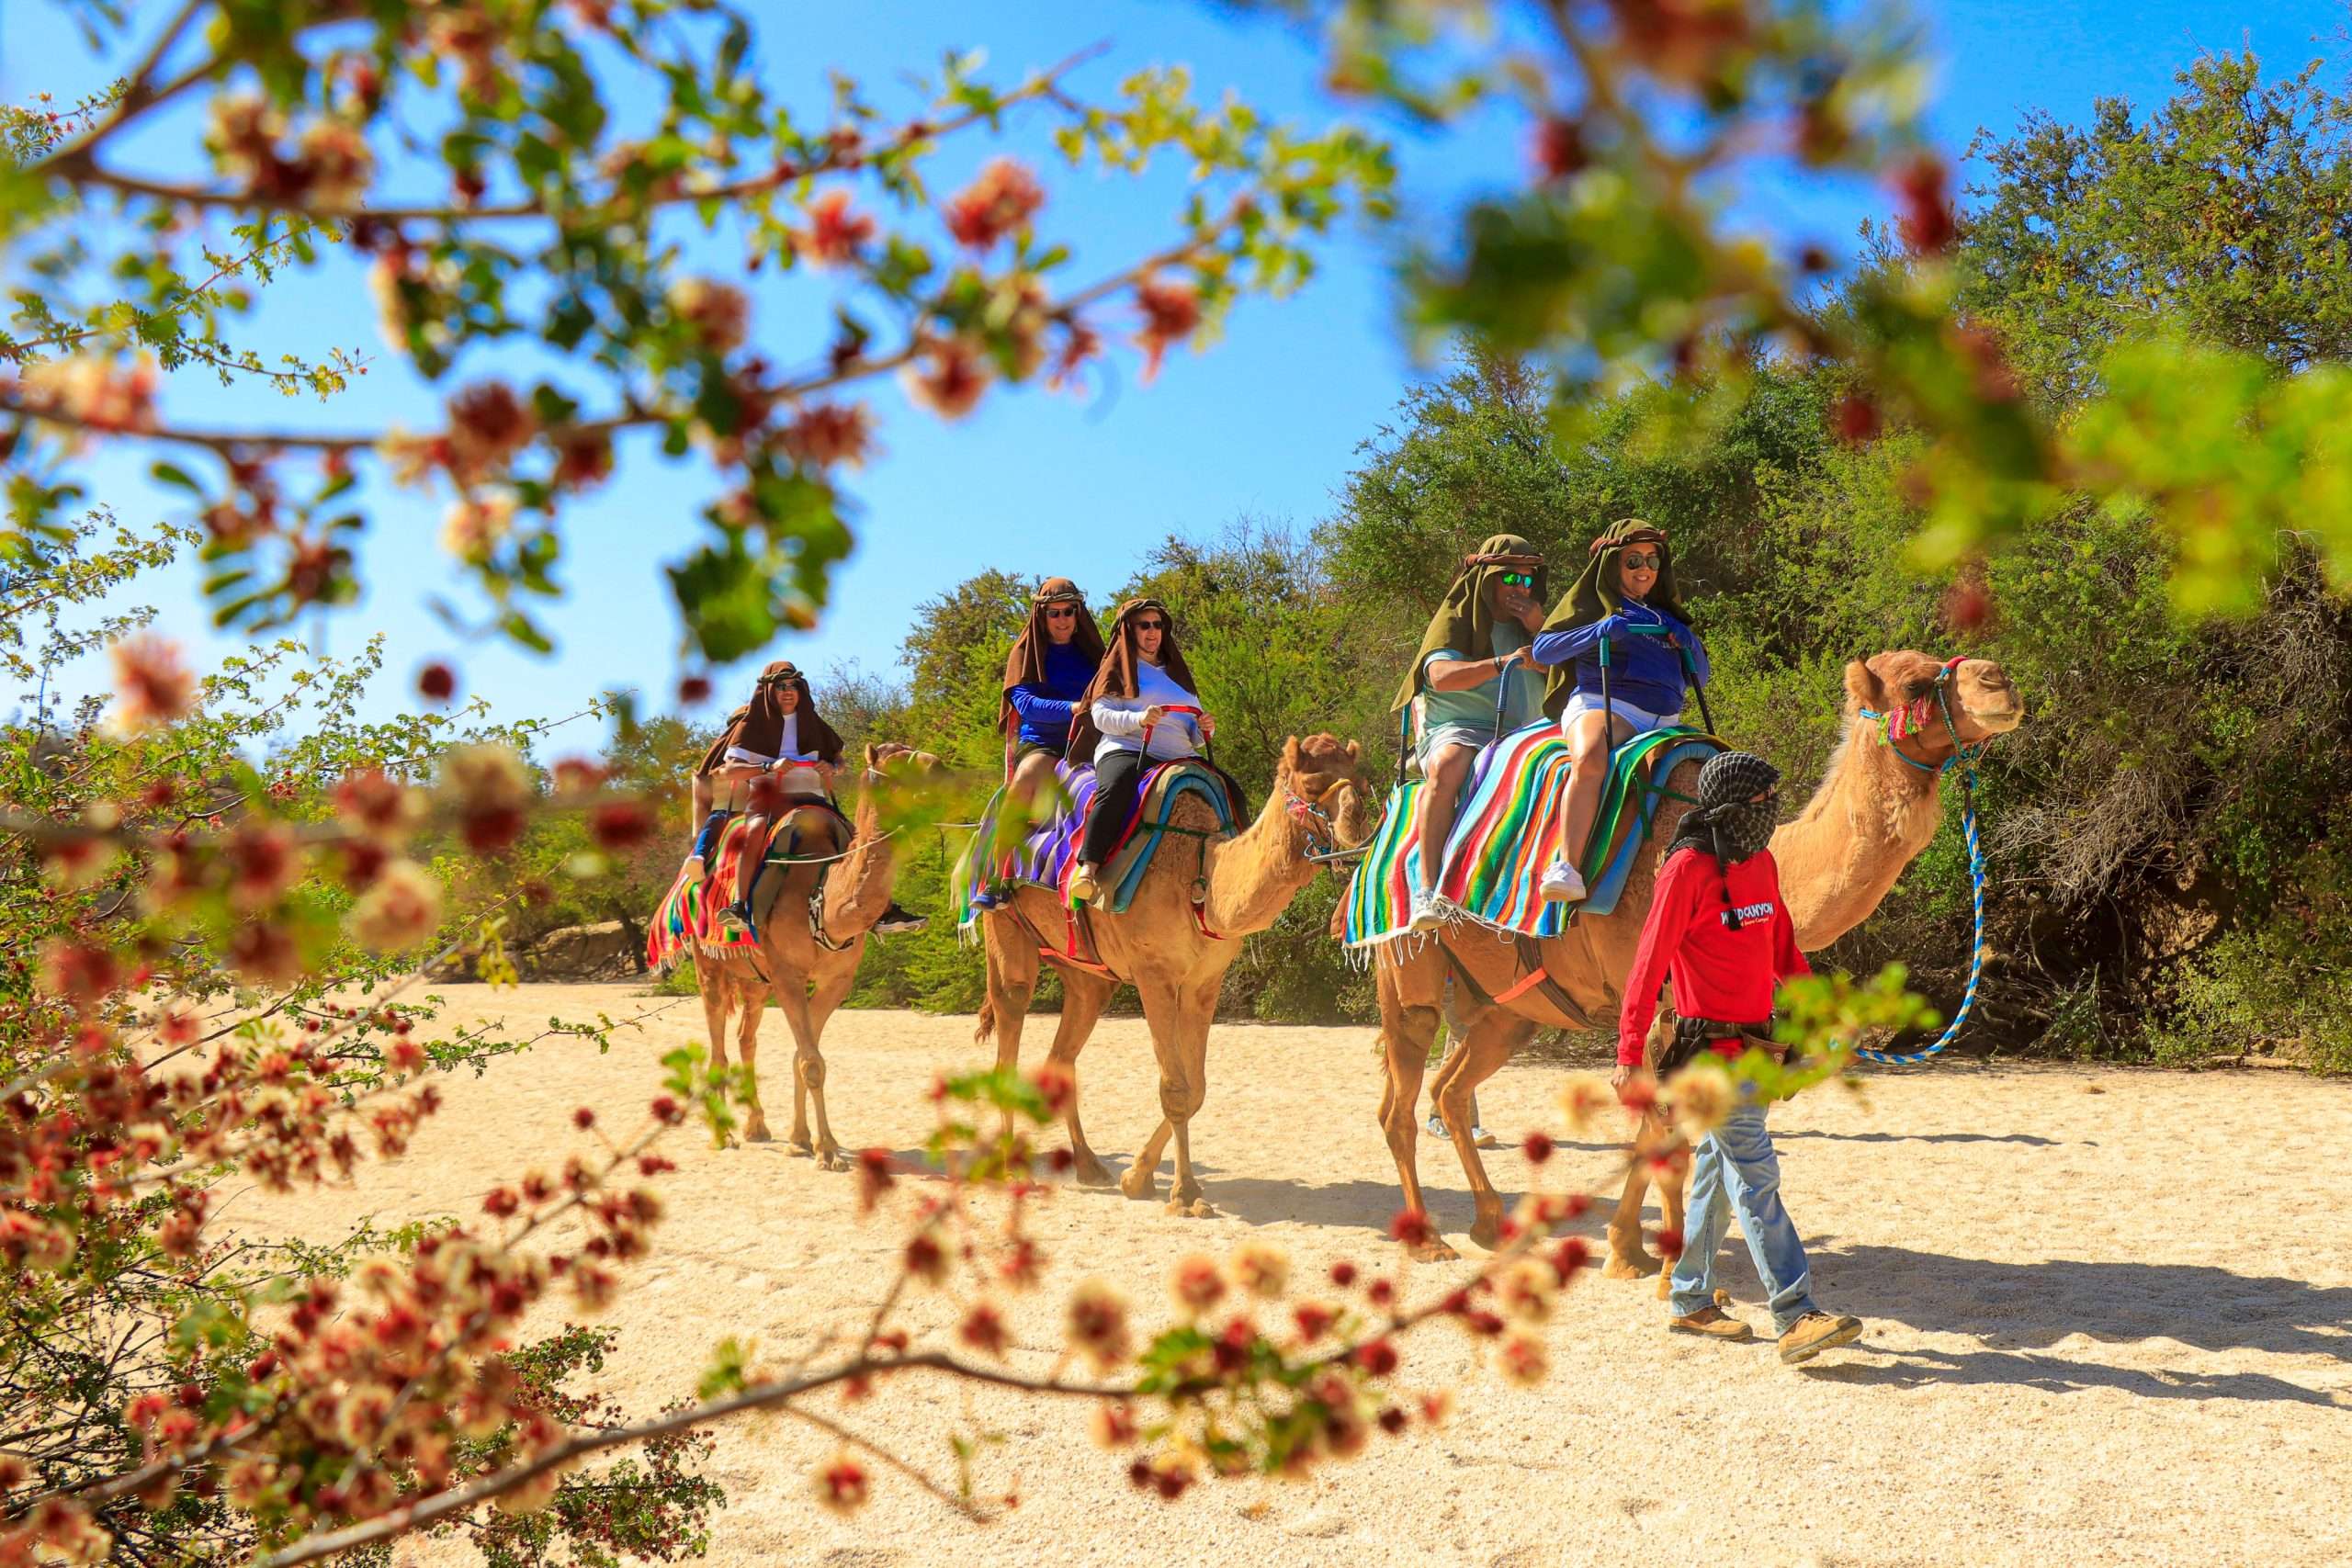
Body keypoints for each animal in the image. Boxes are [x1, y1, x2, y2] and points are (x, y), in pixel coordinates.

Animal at [691, 742, 938, 1167]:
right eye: (895, 764)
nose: (939, 766)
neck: (821, 897)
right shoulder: (788, 974)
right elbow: (811, 1061)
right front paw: (827, 1151)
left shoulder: (836, 980)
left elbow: (804, 1056)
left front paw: (804, 1140)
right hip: (708, 965)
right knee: (718, 1046)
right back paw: (723, 1135)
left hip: (756, 982)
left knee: (745, 1039)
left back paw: (757, 1127)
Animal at [973, 734, 1371, 1216]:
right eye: (1311, 783)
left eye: (1360, 778)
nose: (1358, 822)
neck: (1202, 879)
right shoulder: (1154, 975)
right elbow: (1176, 1087)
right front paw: (1184, 1194)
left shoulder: (1205, 982)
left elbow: (1195, 1088)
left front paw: (1137, 1176)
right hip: (1005, 929)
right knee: (1010, 1021)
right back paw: (1010, 1168)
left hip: (1087, 974)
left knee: (1062, 1053)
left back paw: (1089, 1166)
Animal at [1368, 650, 2024, 1264]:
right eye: (1914, 683)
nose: (2000, 681)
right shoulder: (1651, 1002)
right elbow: (1661, 1136)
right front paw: (1641, 1254)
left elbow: (1680, 1136)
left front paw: (1639, 1247)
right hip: (1407, 971)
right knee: (1399, 1102)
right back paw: (1428, 1240)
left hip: (1511, 1008)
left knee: (1451, 1089)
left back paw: (1488, 1224)